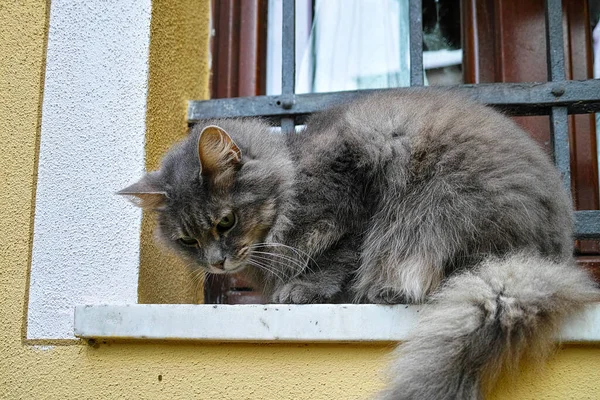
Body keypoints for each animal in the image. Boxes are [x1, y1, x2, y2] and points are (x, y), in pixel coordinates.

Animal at [119, 90, 596, 400]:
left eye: (226, 221)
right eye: (188, 240)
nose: (217, 263)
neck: (292, 175)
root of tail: (554, 251)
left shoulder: (357, 192)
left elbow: (342, 254)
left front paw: (306, 287)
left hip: (437, 205)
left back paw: (383, 289)